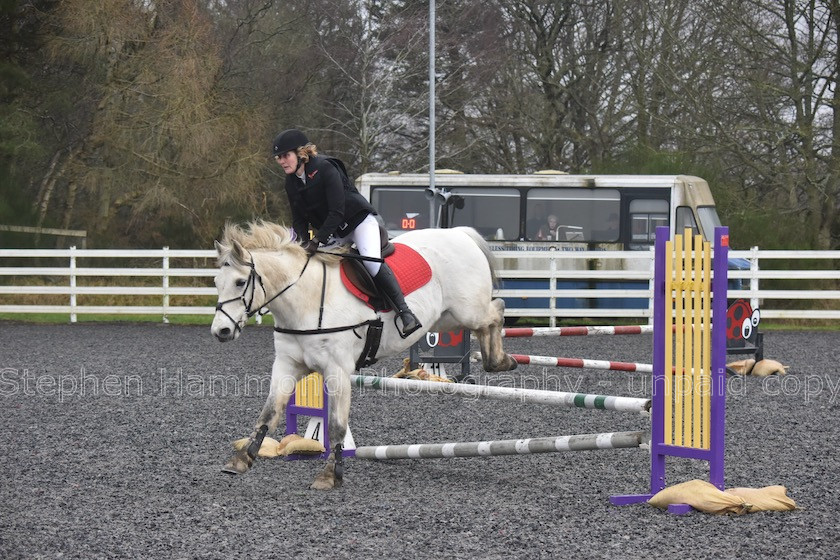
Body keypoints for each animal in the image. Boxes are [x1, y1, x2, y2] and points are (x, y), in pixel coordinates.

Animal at [208, 222, 520, 490]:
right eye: (216, 282)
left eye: (240, 282)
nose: (221, 331)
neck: (306, 299)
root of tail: (458, 233)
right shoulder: (287, 365)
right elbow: (269, 412)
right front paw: (241, 460)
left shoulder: (337, 370)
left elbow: (336, 425)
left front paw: (329, 475)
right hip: (447, 320)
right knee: (487, 321)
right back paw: (496, 360)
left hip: (468, 311)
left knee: (496, 310)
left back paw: (501, 360)